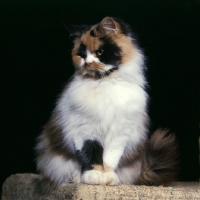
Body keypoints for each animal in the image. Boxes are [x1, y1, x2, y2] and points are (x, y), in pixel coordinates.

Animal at [34, 16, 178, 195]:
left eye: (100, 52)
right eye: (82, 55)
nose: (88, 63)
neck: (105, 83)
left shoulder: (119, 133)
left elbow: (109, 159)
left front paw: (108, 177)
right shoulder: (85, 130)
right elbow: (90, 155)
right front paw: (94, 177)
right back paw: (76, 178)